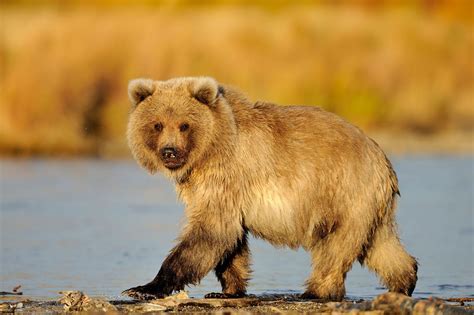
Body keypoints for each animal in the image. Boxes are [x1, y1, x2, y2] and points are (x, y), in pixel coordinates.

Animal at [123, 76, 418, 302]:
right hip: (369, 204)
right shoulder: (218, 190)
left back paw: (314, 291)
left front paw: (143, 288)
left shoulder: (228, 176)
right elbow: (230, 240)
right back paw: (405, 280)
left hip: (343, 191)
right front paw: (227, 290)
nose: (169, 152)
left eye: (184, 125)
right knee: (379, 244)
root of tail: (382, 159)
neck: (209, 151)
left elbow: (210, 231)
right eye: (157, 124)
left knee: (335, 247)